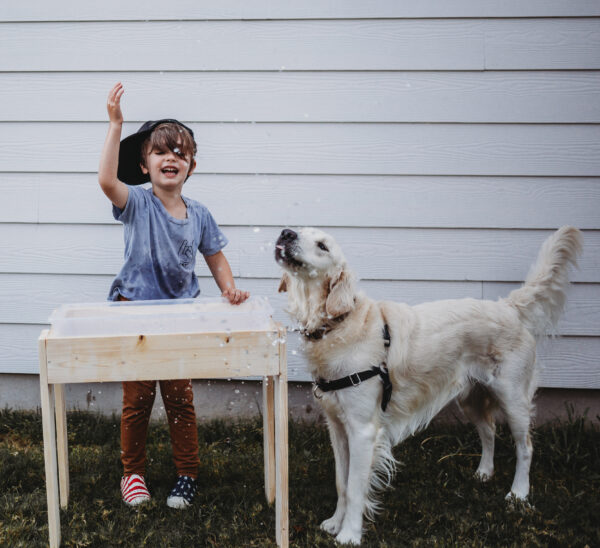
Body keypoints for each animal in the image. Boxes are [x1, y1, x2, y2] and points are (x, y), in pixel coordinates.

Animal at [276, 226, 580, 544]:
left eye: (322, 245)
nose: (285, 233)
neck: (338, 325)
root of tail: (507, 306)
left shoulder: (362, 430)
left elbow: (356, 488)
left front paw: (349, 534)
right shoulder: (337, 426)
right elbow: (342, 482)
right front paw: (335, 522)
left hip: (513, 398)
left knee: (525, 447)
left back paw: (519, 493)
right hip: (470, 398)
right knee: (489, 430)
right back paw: (484, 472)